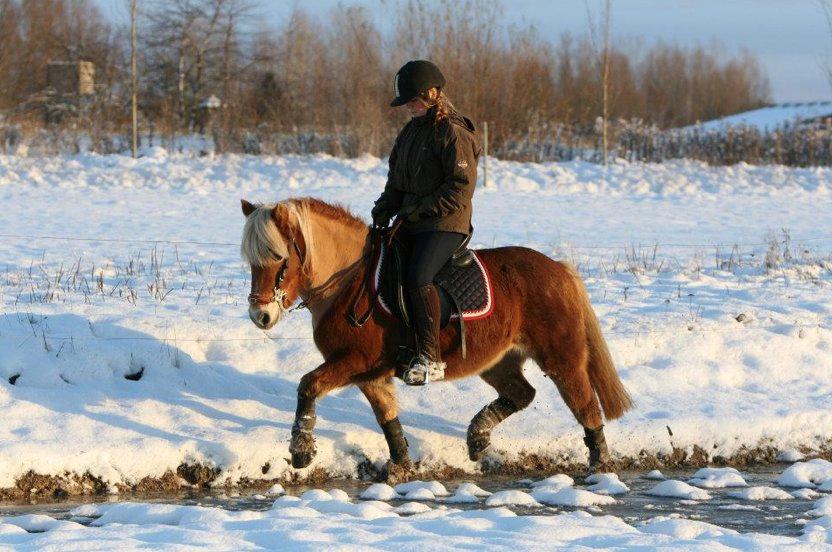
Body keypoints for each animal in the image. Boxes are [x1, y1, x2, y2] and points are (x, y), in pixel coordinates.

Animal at [239, 196, 632, 476]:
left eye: (279, 258)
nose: (261, 316)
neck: (350, 282)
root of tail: (560, 270)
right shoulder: (369, 374)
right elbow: (387, 417)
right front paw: (400, 467)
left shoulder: (354, 361)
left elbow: (308, 384)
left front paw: (301, 450)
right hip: (498, 360)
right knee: (523, 393)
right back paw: (478, 437)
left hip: (562, 358)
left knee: (586, 406)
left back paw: (599, 465)